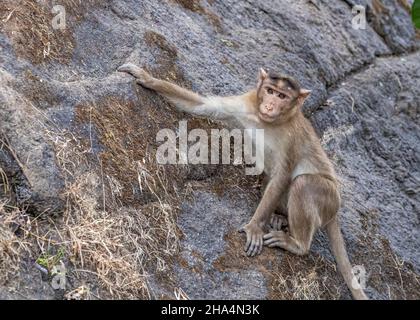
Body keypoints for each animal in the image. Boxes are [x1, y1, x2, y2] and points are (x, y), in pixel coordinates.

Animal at [117, 63, 368, 300]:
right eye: (270, 91)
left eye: (282, 96)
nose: (269, 105)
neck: (268, 121)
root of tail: (336, 210)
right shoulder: (244, 104)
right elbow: (204, 106)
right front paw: (146, 78)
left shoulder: (291, 137)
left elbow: (282, 175)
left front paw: (254, 227)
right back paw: (279, 217)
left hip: (328, 197)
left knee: (303, 183)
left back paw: (297, 244)